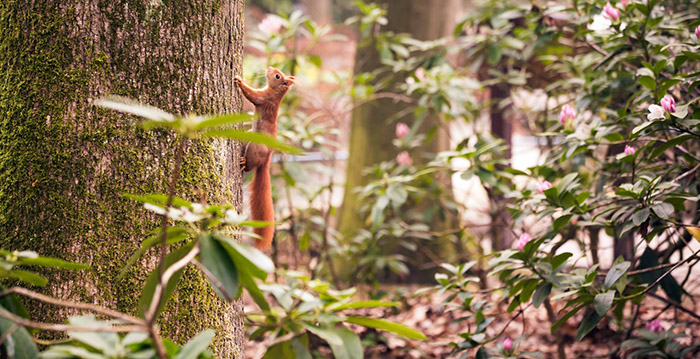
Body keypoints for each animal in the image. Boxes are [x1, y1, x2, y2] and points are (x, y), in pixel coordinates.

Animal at [235, 67, 296, 250]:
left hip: (255, 148)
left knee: (251, 165)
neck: (275, 92)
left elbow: (251, 95)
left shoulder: (264, 98)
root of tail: (268, 157)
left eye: (277, 76)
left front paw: (240, 81)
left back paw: (244, 163)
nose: (269, 68)